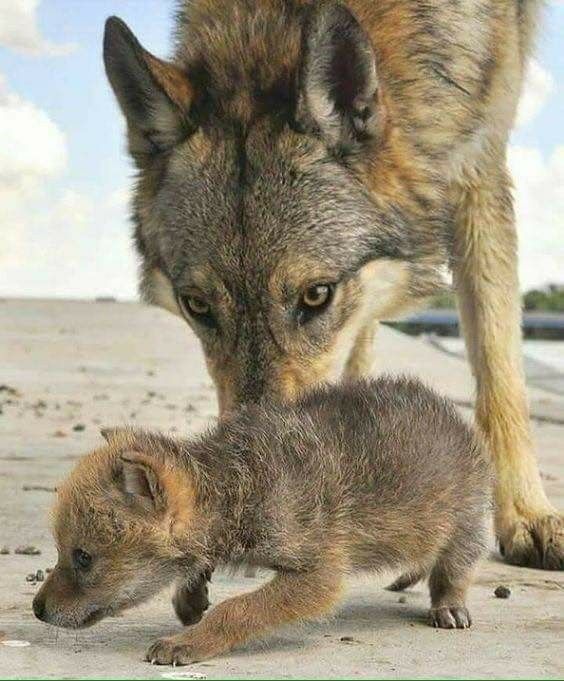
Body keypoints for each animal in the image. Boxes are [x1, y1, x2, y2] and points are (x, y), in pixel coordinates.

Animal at [104, 0, 560, 580]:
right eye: (198, 306)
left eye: (316, 295)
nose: (255, 486)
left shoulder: (479, 162)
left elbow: (500, 373)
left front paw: (526, 515)